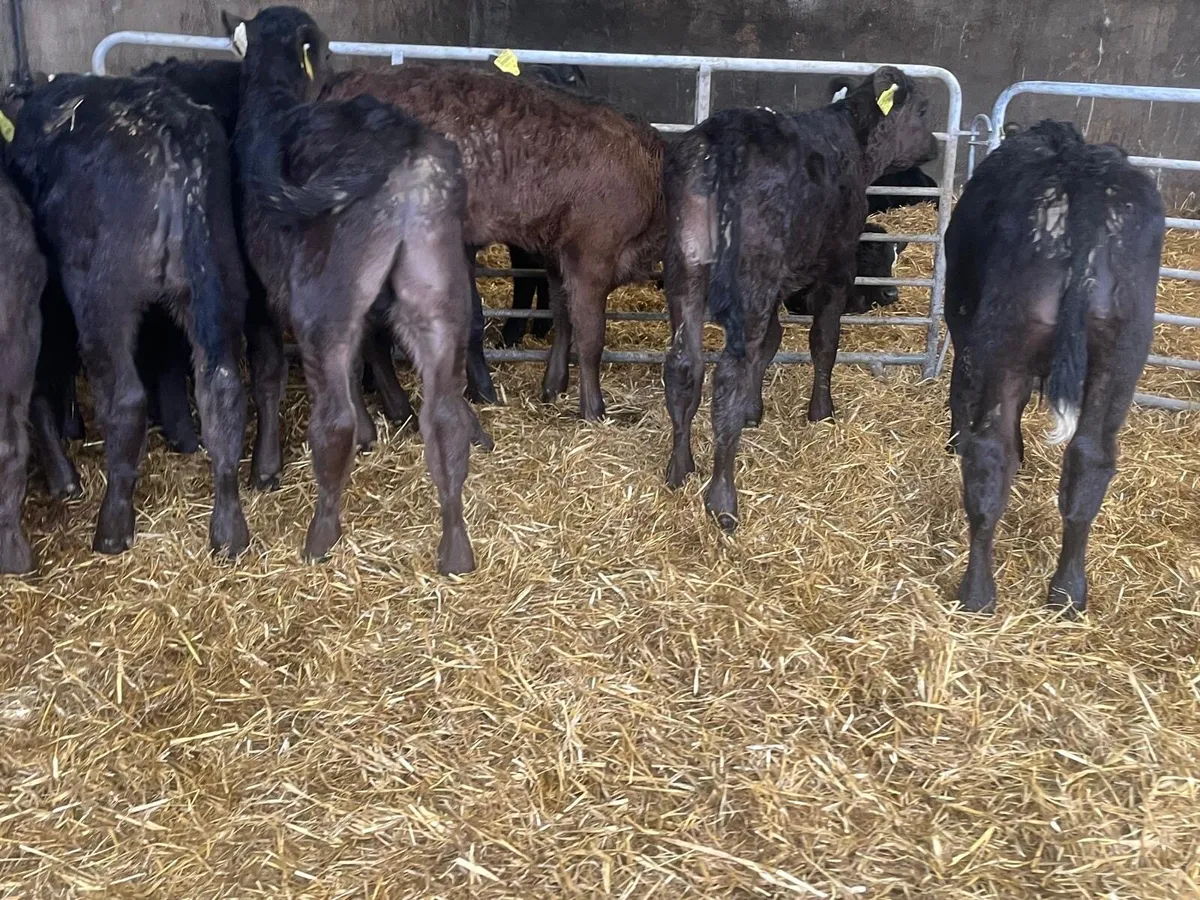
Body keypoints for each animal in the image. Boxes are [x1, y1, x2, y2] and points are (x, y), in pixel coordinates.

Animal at [5, 72, 251, 558]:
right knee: (222, 390)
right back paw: (229, 531)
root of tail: (172, 131)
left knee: (125, 400)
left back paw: (113, 524)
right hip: (219, 283)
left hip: (104, 301)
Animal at [221, 5, 479, 573]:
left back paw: (320, 535)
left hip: (324, 305)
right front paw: (370, 431)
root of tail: (402, 141)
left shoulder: (259, 291)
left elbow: (269, 370)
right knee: (446, 418)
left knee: (331, 419)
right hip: (438, 295)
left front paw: (266, 468)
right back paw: (455, 548)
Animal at [323, 57, 667, 421]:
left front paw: (553, 386)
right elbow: (590, 335)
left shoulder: (557, 254)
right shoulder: (591, 256)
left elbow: (562, 318)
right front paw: (593, 409)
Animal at [662, 67, 938, 530]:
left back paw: (680, 468)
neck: (851, 142)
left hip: (686, 273)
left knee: (685, 367)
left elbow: (771, 344)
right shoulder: (837, 266)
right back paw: (722, 499)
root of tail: (718, 141)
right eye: (921, 110)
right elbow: (824, 343)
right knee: (725, 379)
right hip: (748, 281)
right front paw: (822, 412)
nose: (935, 145)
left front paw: (755, 410)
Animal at [945, 120, 1163, 615]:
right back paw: (1068, 591)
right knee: (1091, 459)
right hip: (1122, 352)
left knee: (989, 453)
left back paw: (977, 594)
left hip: (1003, 337)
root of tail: (1078, 169)